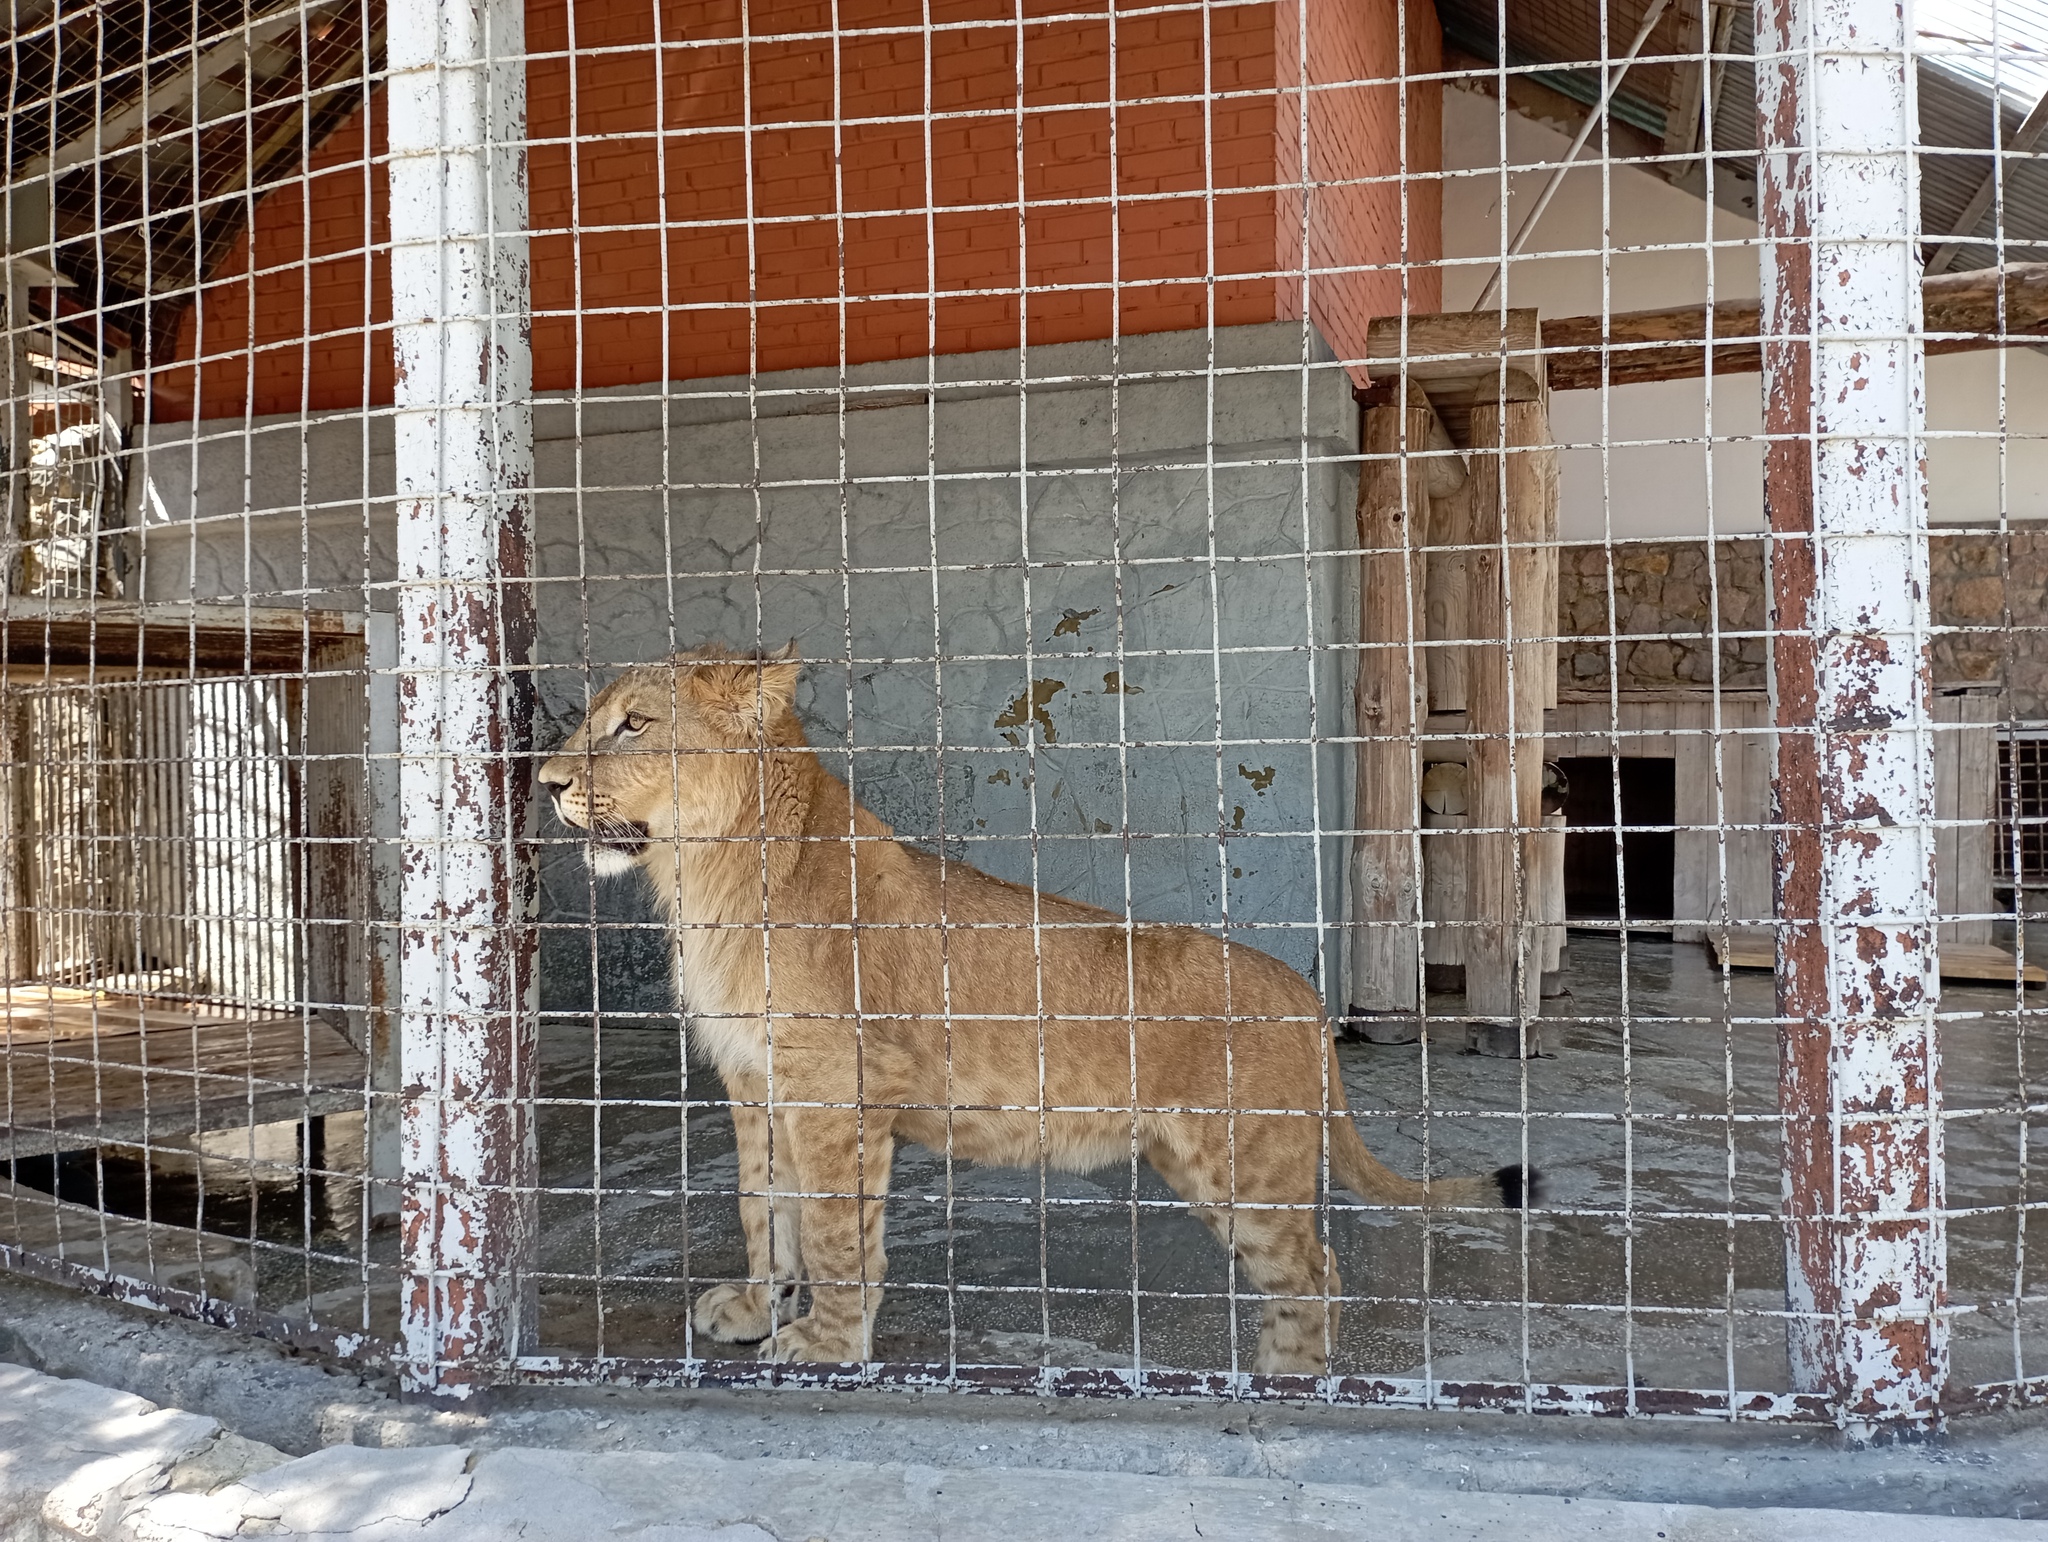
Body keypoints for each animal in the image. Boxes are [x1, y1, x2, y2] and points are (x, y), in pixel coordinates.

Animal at [544, 643, 1540, 1367]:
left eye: (633, 726)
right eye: (589, 721)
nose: (547, 784)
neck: (707, 874)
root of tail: (1303, 994)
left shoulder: (837, 1089)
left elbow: (830, 1229)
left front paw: (827, 1344)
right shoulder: (757, 1082)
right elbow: (765, 1208)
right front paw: (757, 1305)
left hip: (1243, 1163)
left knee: (1312, 1272)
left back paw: (1284, 1383)